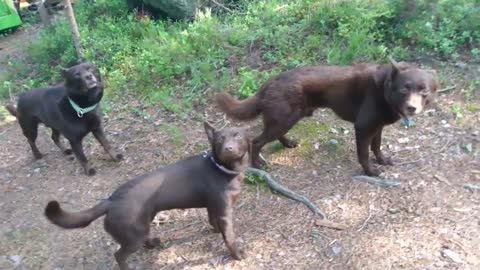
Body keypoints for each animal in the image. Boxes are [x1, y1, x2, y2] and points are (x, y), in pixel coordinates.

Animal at [44, 122, 251, 270]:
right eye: (219, 140)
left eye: (238, 136)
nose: (228, 149)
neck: (222, 169)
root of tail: (111, 200)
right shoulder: (225, 212)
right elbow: (229, 237)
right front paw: (237, 255)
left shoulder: (212, 206)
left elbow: (212, 221)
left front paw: (215, 232)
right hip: (134, 235)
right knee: (119, 255)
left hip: (143, 223)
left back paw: (153, 242)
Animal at [218, 58, 438, 176]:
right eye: (404, 89)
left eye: (424, 91)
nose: (412, 108)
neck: (384, 89)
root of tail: (270, 82)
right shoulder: (363, 127)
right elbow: (364, 153)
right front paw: (370, 171)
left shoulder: (378, 127)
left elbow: (376, 147)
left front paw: (382, 160)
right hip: (284, 119)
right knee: (256, 142)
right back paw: (258, 164)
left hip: (287, 119)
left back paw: (288, 143)